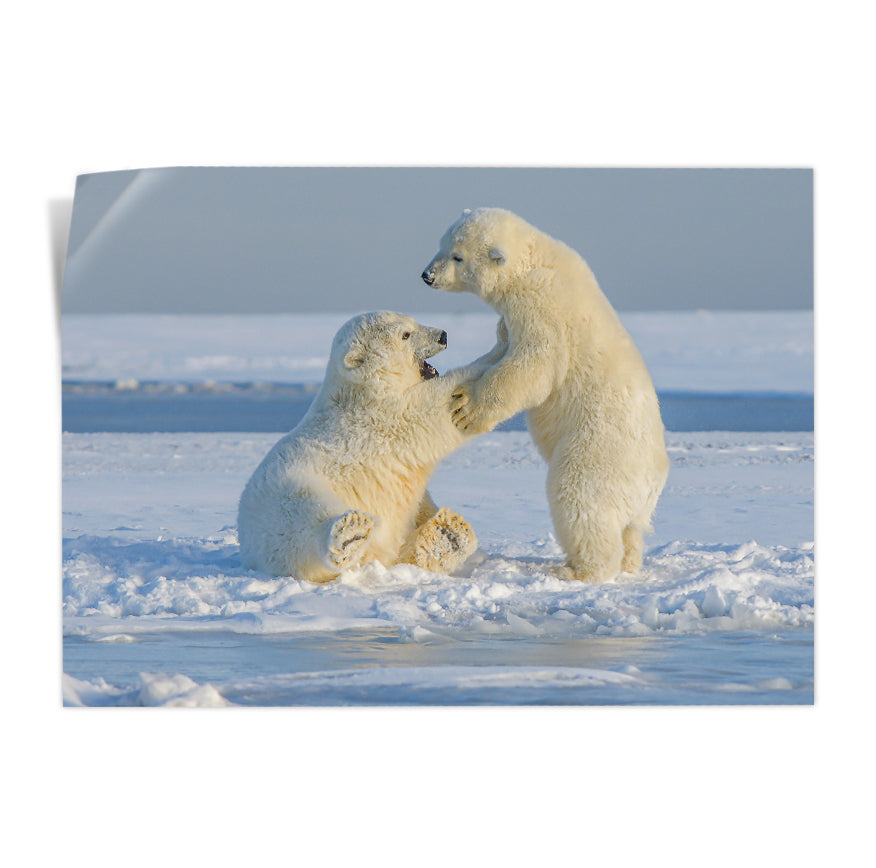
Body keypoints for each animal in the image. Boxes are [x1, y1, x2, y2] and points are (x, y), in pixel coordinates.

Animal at [237, 311, 486, 582]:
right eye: (405, 334)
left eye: (413, 320)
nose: (443, 335)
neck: (361, 390)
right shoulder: (382, 419)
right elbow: (430, 409)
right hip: (286, 494)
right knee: (304, 518)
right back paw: (350, 535)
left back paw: (448, 534)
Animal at [422, 207, 670, 582]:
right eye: (442, 244)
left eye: (457, 256)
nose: (427, 275)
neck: (537, 259)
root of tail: (653, 482)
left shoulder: (541, 305)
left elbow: (533, 365)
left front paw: (466, 407)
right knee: (630, 529)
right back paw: (627, 562)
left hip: (597, 451)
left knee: (579, 499)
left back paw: (576, 570)